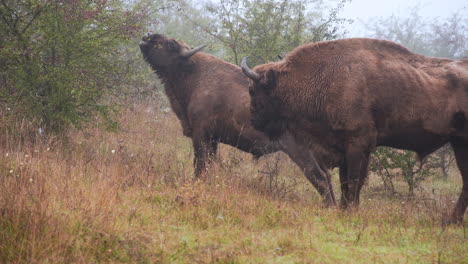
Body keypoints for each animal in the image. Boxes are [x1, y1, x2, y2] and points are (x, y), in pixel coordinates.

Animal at [139, 33, 336, 206]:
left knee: (319, 177)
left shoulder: (201, 135)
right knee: (327, 177)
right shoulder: (213, 139)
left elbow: (200, 164)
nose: (147, 37)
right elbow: (209, 164)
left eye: (171, 44)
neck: (193, 71)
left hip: (301, 152)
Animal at [241, 37, 468, 223]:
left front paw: (351, 210)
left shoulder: (358, 145)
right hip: (459, 143)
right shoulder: (344, 148)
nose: (253, 121)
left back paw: (451, 220)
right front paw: (344, 209)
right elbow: (345, 181)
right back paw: (451, 221)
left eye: (252, 89)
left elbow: (353, 181)